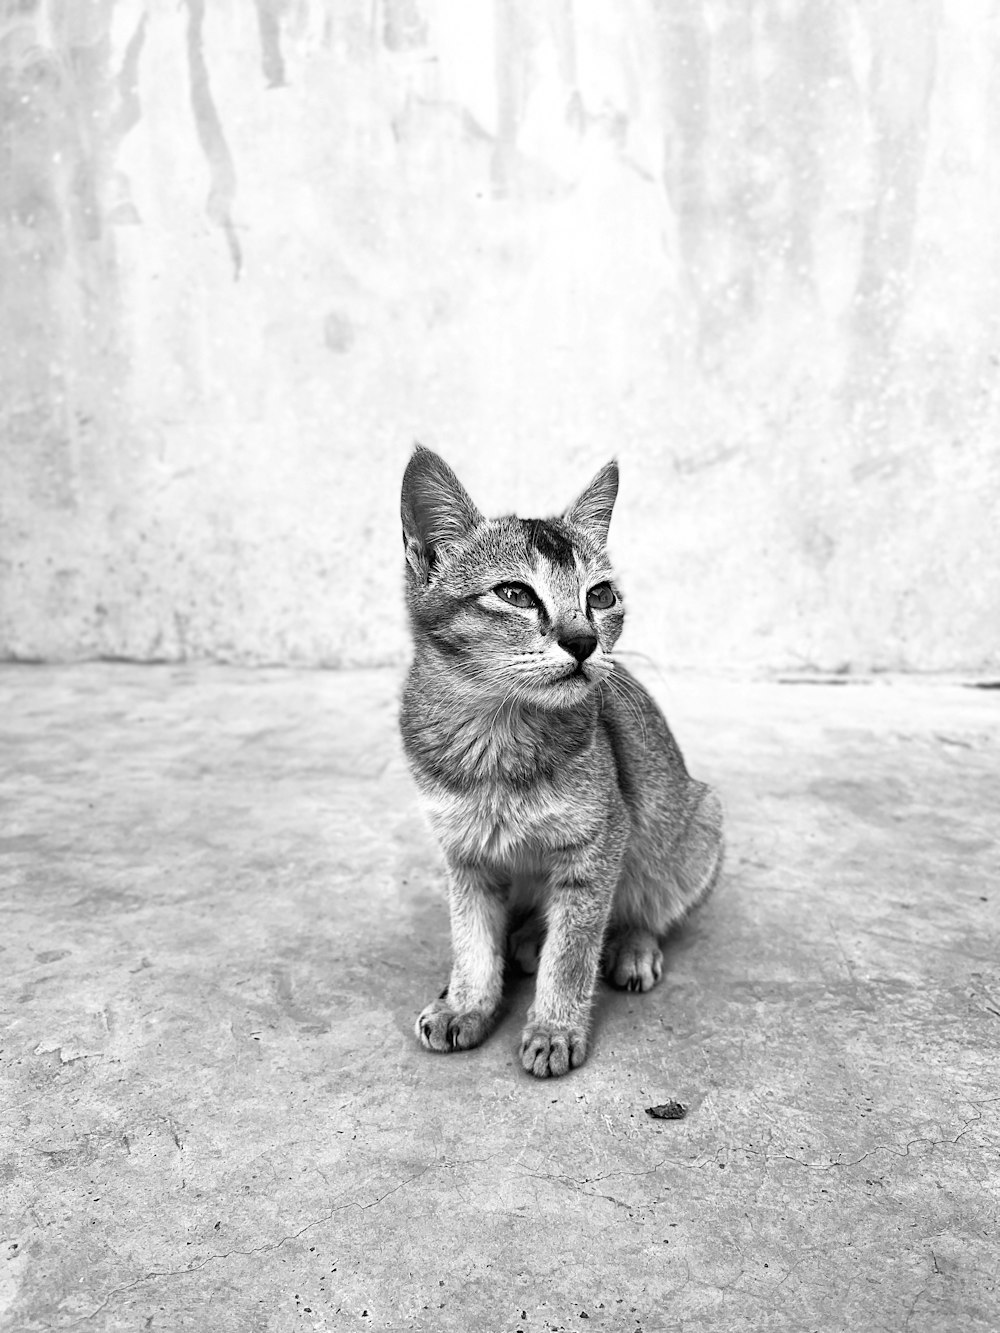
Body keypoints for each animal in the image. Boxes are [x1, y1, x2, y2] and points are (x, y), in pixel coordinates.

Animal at [402, 450, 730, 1082]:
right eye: (514, 593)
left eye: (600, 596)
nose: (583, 641)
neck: (496, 739)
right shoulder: (465, 852)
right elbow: (470, 937)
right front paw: (467, 1003)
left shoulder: (600, 844)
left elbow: (573, 949)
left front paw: (554, 1028)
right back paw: (527, 938)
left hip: (698, 819)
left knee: (644, 906)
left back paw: (631, 947)